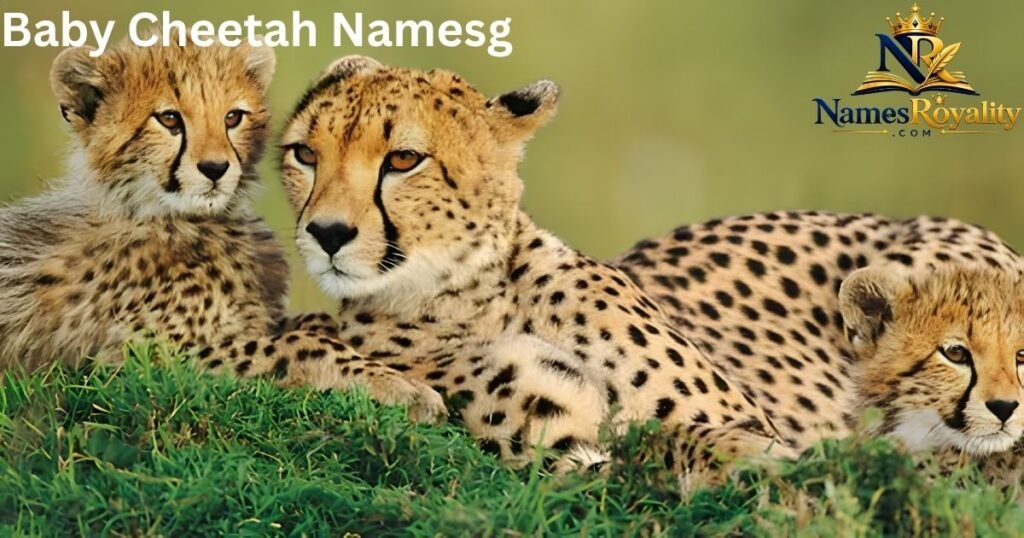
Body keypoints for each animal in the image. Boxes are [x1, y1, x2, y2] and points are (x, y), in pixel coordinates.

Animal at [0, 36, 444, 424]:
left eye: (233, 117)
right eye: (169, 119)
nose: (215, 168)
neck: (180, 222)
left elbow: (310, 323)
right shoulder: (131, 360)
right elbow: (297, 345)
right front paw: (402, 388)